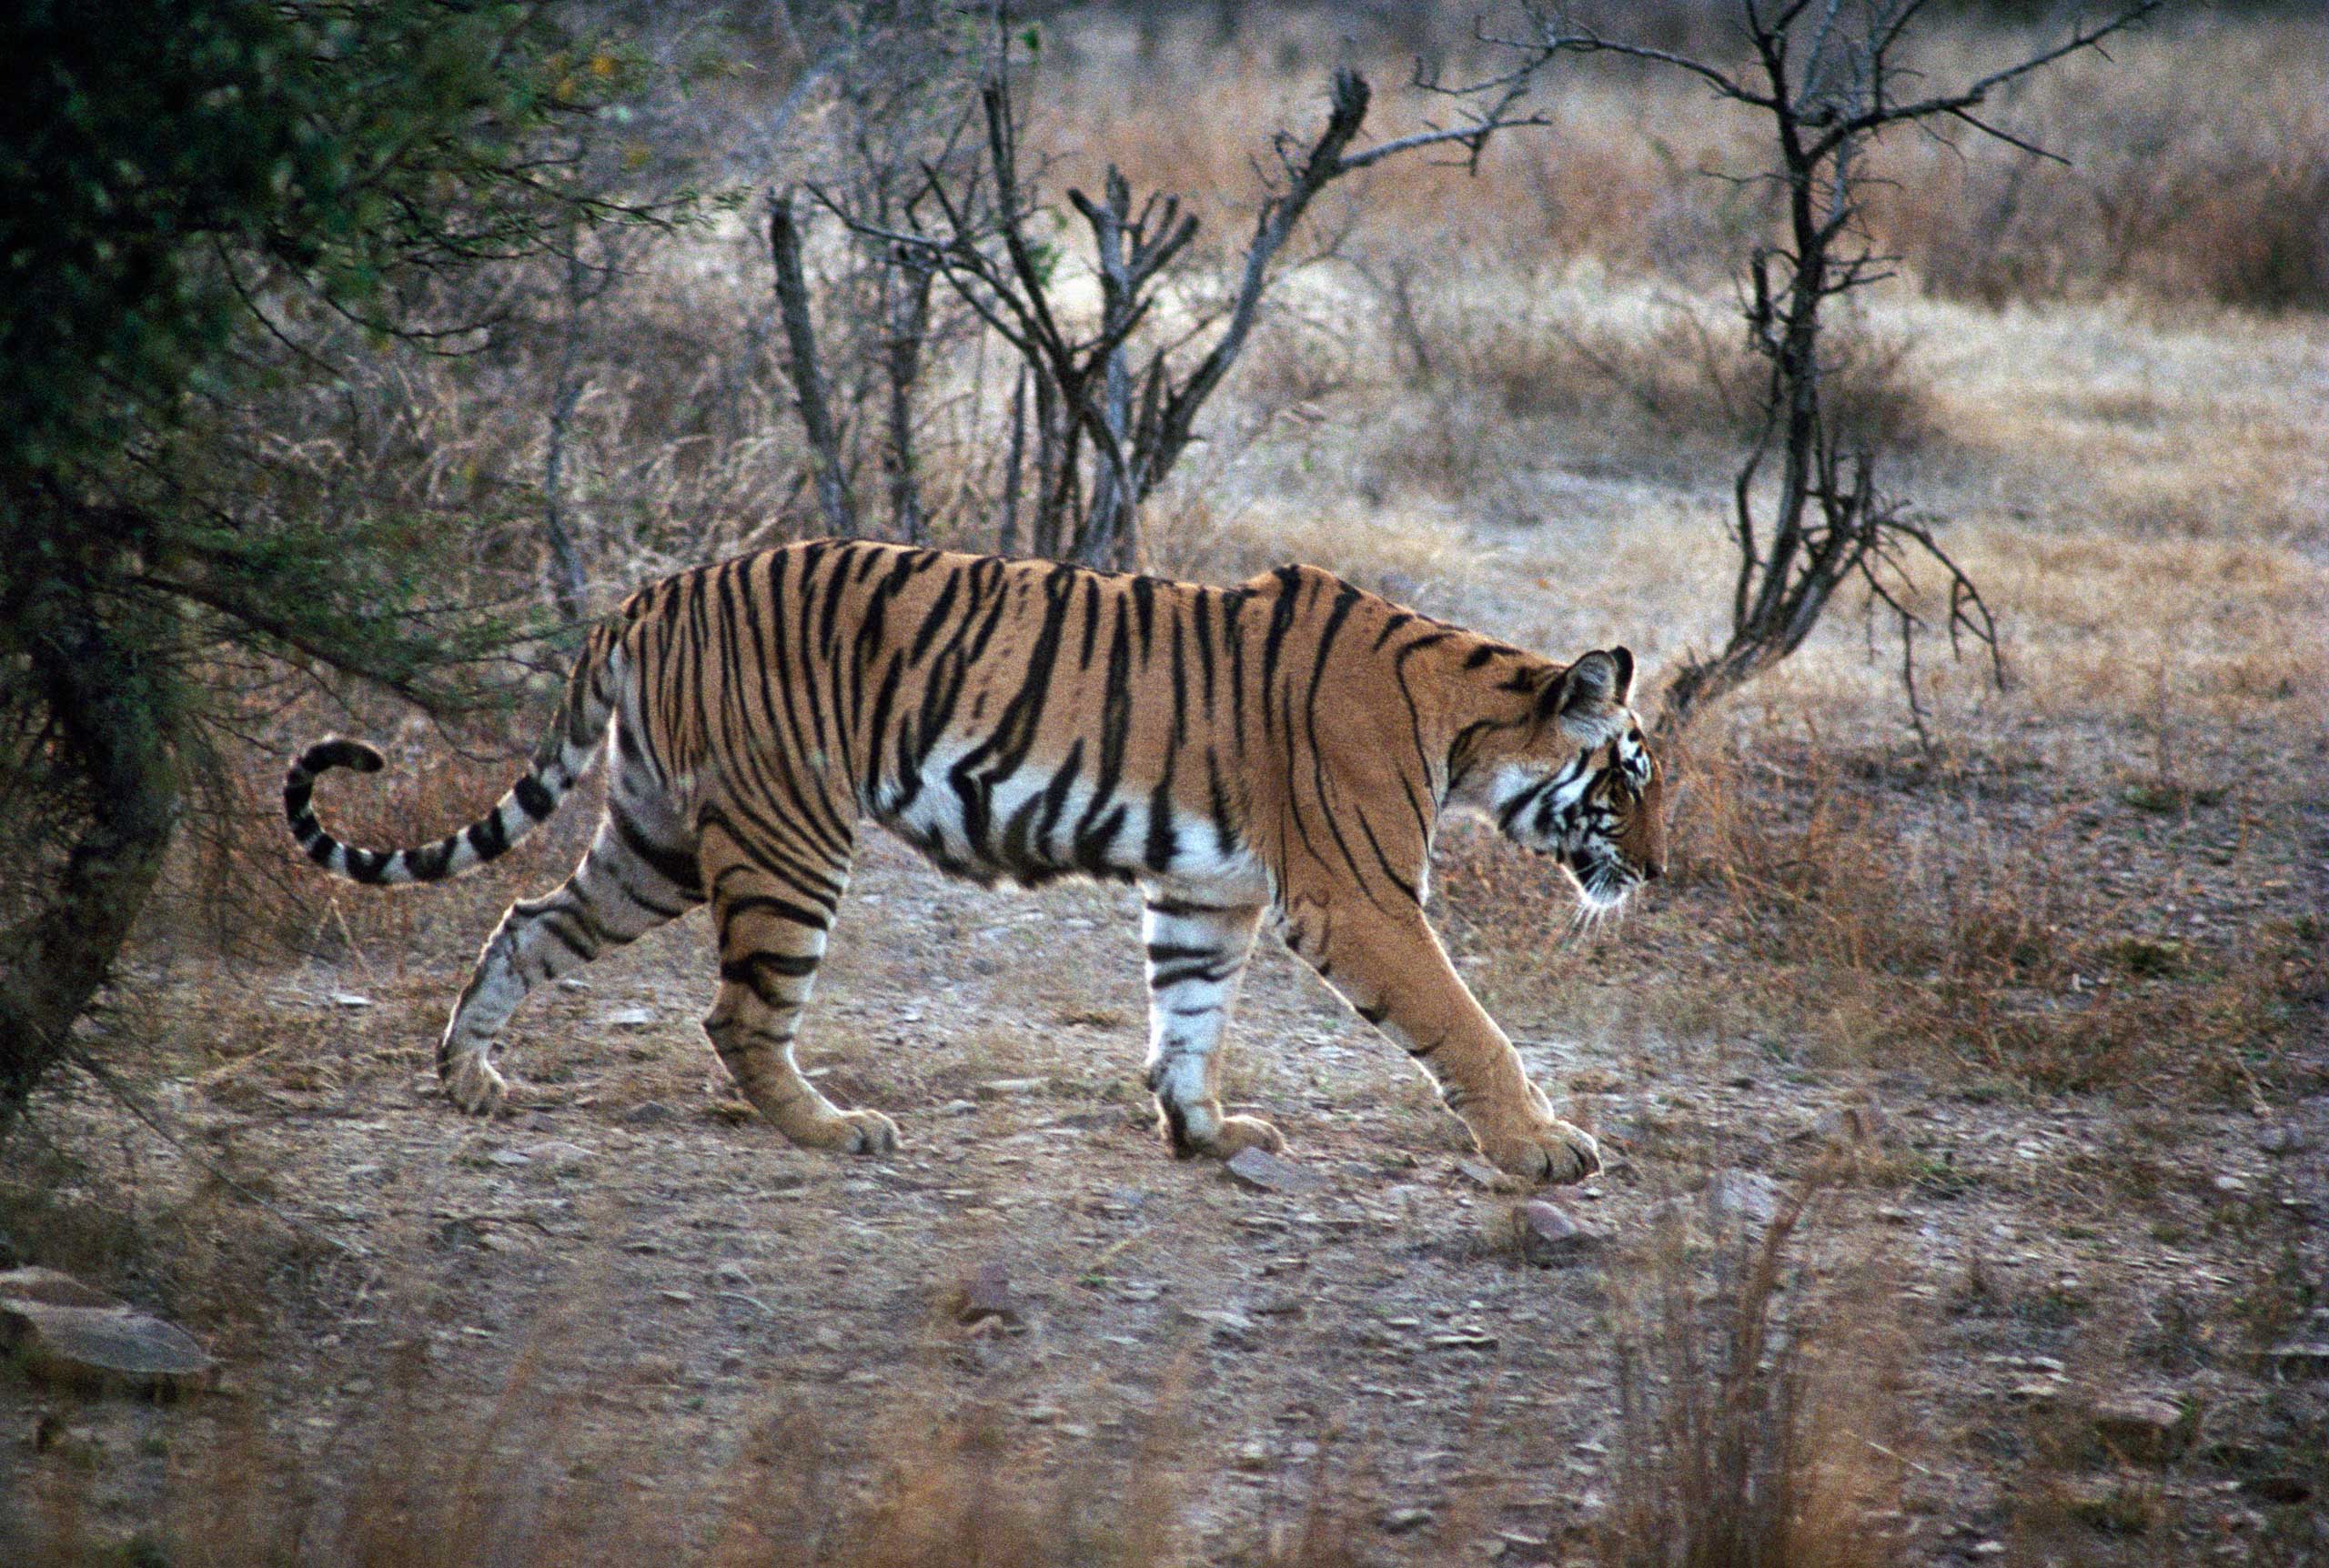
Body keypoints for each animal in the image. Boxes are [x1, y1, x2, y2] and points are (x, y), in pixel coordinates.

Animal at [284, 538, 1666, 1184]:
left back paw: (473, 1078)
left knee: (526, 918)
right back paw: (834, 1129)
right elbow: (1466, 1026)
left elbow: (1187, 1014)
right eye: (1630, 780)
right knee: (737, 1012)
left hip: (655, 838)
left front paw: (1202, 1129)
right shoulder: (1356, 898)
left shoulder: (1208, 888)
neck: (1466, 720)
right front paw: (1545, 1147)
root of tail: (650, 593)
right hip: (790, 836)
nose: (1657, 872)